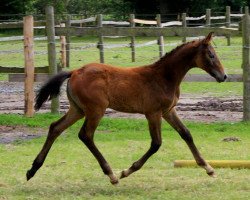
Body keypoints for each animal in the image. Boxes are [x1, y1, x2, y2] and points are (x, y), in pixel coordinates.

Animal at [26, 32, 227, 184]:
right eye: (211, 55)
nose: (223, 76)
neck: (163, 77)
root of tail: (74, 71)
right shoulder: (153, 113)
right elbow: (156, 143)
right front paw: (127, 171)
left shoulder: (168, 111)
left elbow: (186, 134)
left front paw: (209, 168)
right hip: (95, 110)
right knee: (85, 135)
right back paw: (112, 175)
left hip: (78, 109)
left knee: (55, 128)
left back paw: (32, 169)